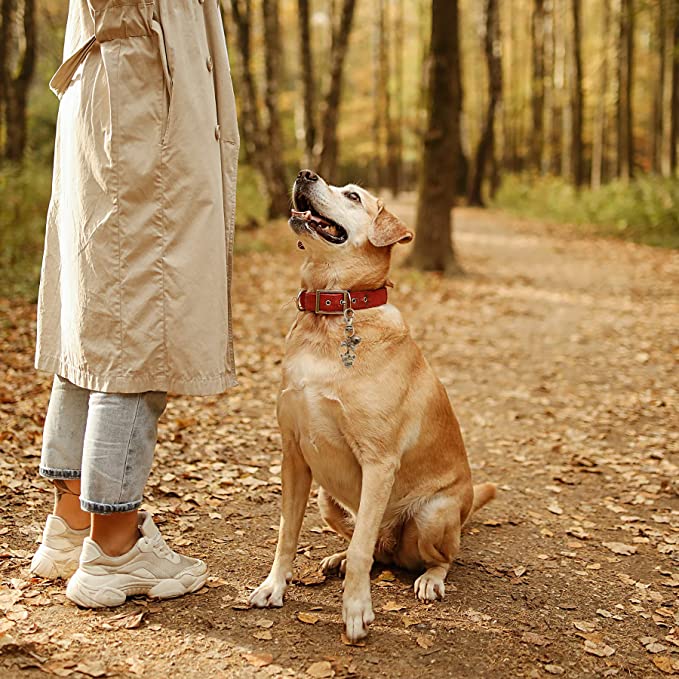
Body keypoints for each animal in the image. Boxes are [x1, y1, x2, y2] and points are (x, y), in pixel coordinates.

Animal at [250, 170, 494, 644]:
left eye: (352, 196)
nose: (305, 173)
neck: (333, 312)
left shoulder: (379, 462)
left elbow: (363, 551)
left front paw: (356, 610)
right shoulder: (293, 455)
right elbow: (287, 534)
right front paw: (274, 586)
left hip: (433, 513)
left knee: (431, 557)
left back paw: (429, 579)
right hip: (327, 498)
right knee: (374, 549)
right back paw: (338, 558)